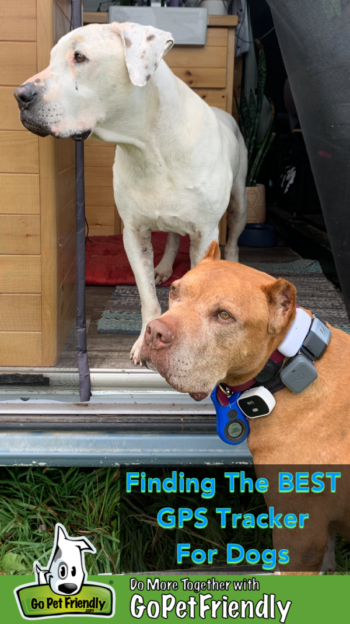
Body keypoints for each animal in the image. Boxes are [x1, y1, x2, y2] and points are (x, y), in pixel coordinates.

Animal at [14, 22, 249, 364]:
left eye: (79, 57)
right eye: (51, 57)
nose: (20, 95)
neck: (150, 147)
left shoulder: (205, 233)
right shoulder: (134, 233)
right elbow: (147, 296)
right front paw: (145, 341)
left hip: (239, 201)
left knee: (233, 237)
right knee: (173, 237)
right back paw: (163, 268)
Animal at [141, 241, 350, 572]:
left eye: (225, 315)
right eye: (174, 291)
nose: (154, 331)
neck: (286, 366)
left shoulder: (301, 538)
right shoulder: (321, 537)